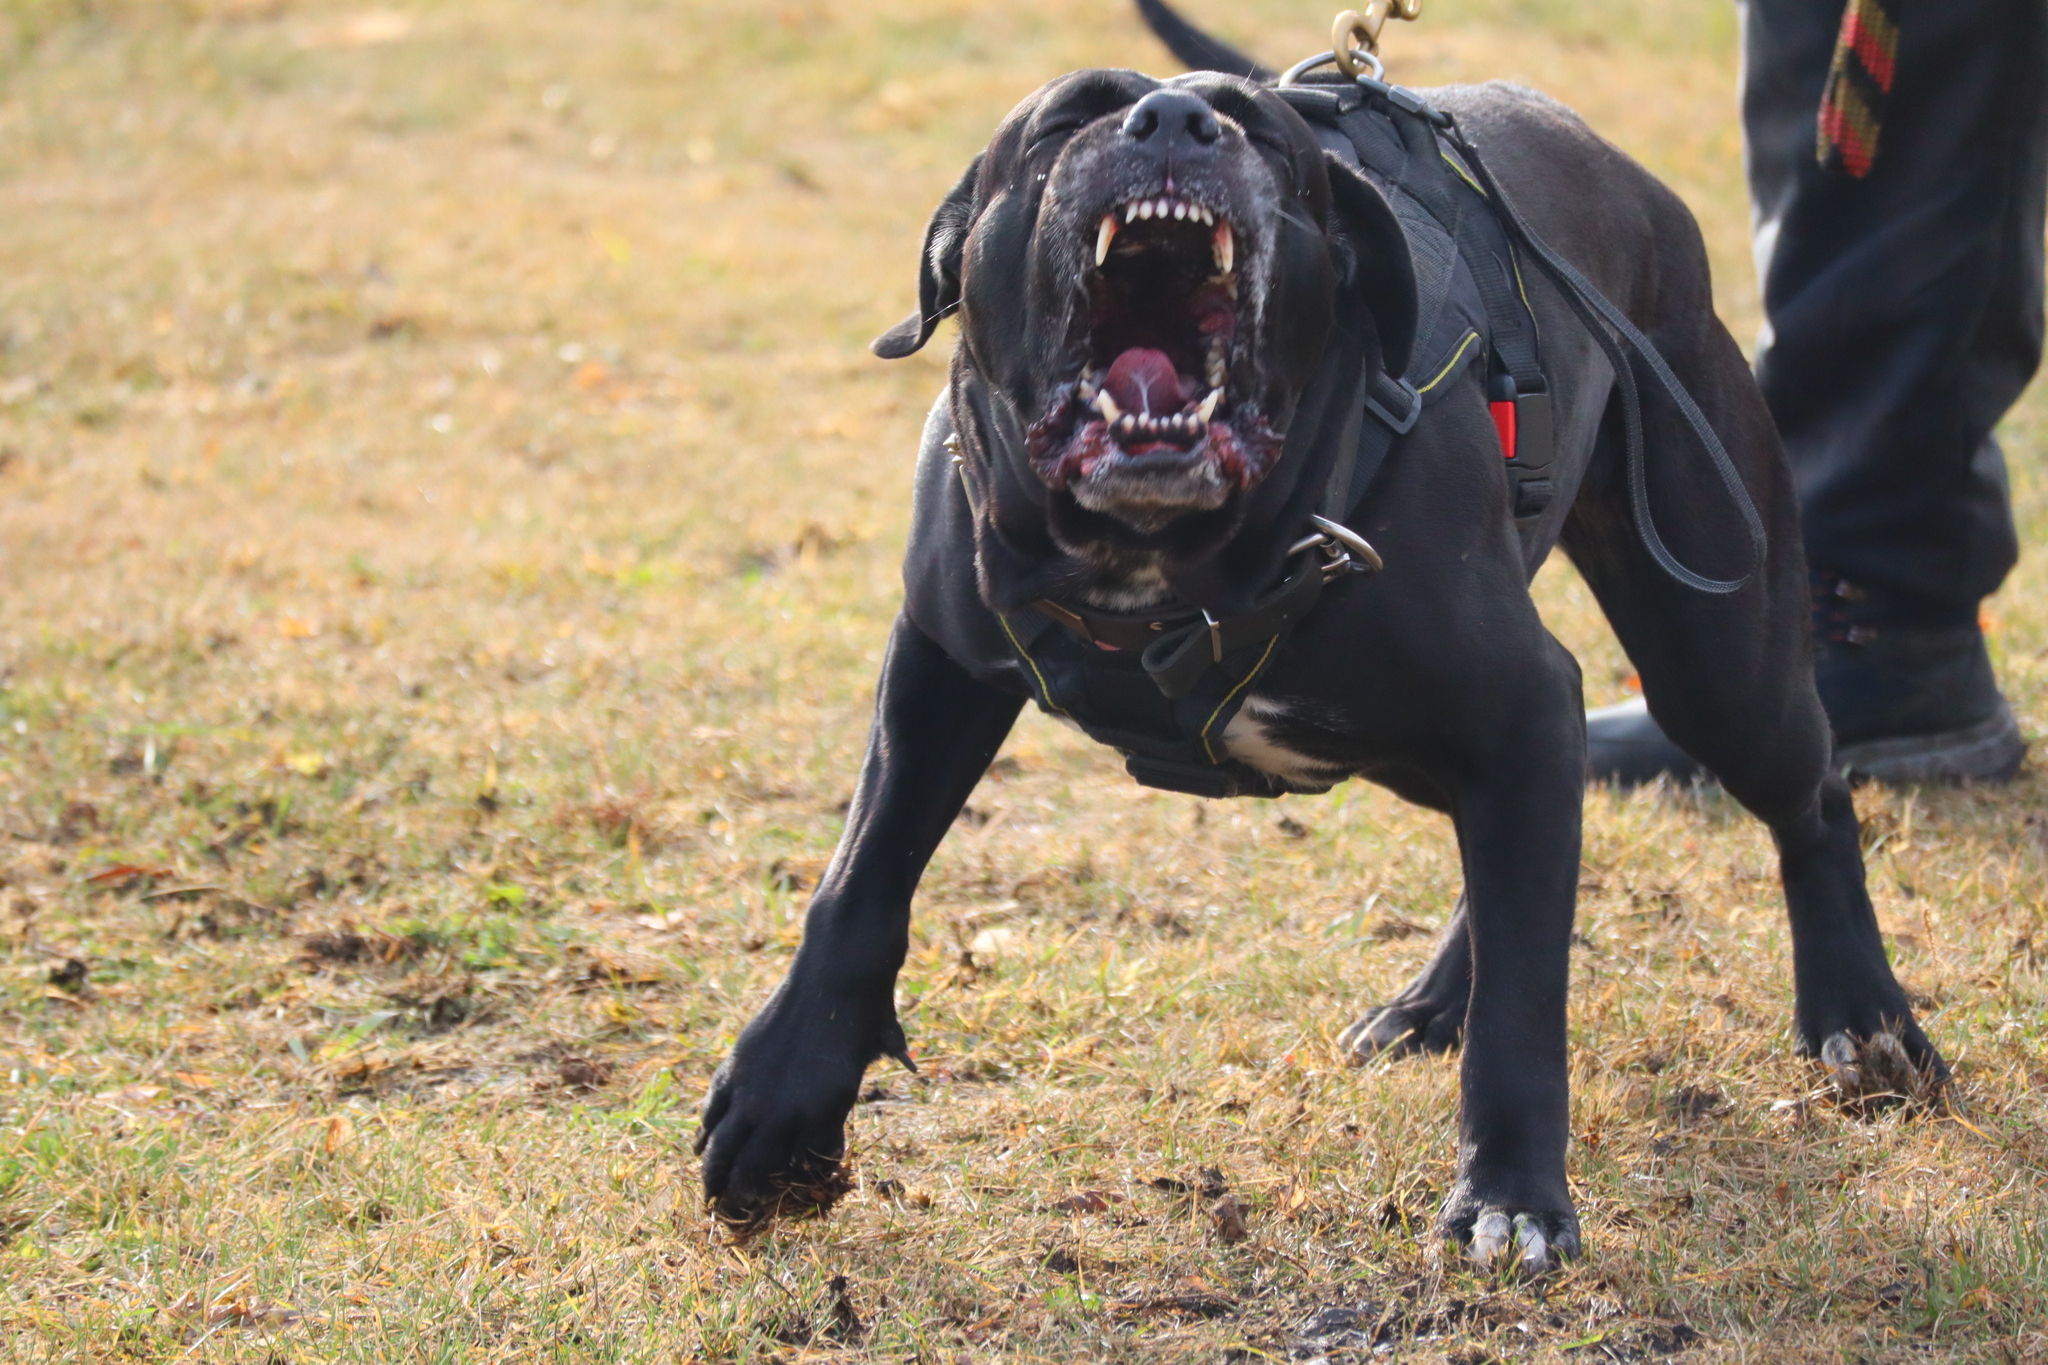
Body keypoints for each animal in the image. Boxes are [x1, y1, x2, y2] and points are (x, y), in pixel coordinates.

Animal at [696, 2, 1941, 1268]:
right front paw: (783, 1105)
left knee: (1808, 798)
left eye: (1258, 137)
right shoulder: (940, 661)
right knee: (1528, 854)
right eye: (1062, 121)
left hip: (1710, 657)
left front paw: (1509, 1194)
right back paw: (1433, 1003)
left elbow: (1526, 999)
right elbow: (858, 883)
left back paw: (1863, 1016)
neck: (1161, 559)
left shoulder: (1520, 700)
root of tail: (1621, 173)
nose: (1172, 120)